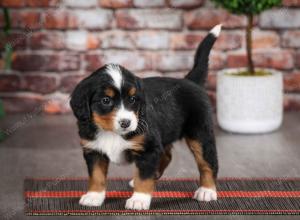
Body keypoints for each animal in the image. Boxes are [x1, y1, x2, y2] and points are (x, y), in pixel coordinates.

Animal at [69, 23, 220, 210]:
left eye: (133, 99)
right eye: (106, 100)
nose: (126, 123)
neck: (111, 132)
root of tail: (190, 81)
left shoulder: (148, 148)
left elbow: (143, 176)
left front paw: (139, 199)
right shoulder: (94, 150)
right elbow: (96, 175)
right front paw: (94, 196)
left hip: (200, 133)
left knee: (208, 162)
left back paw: (207, 190)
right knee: (166, 155)